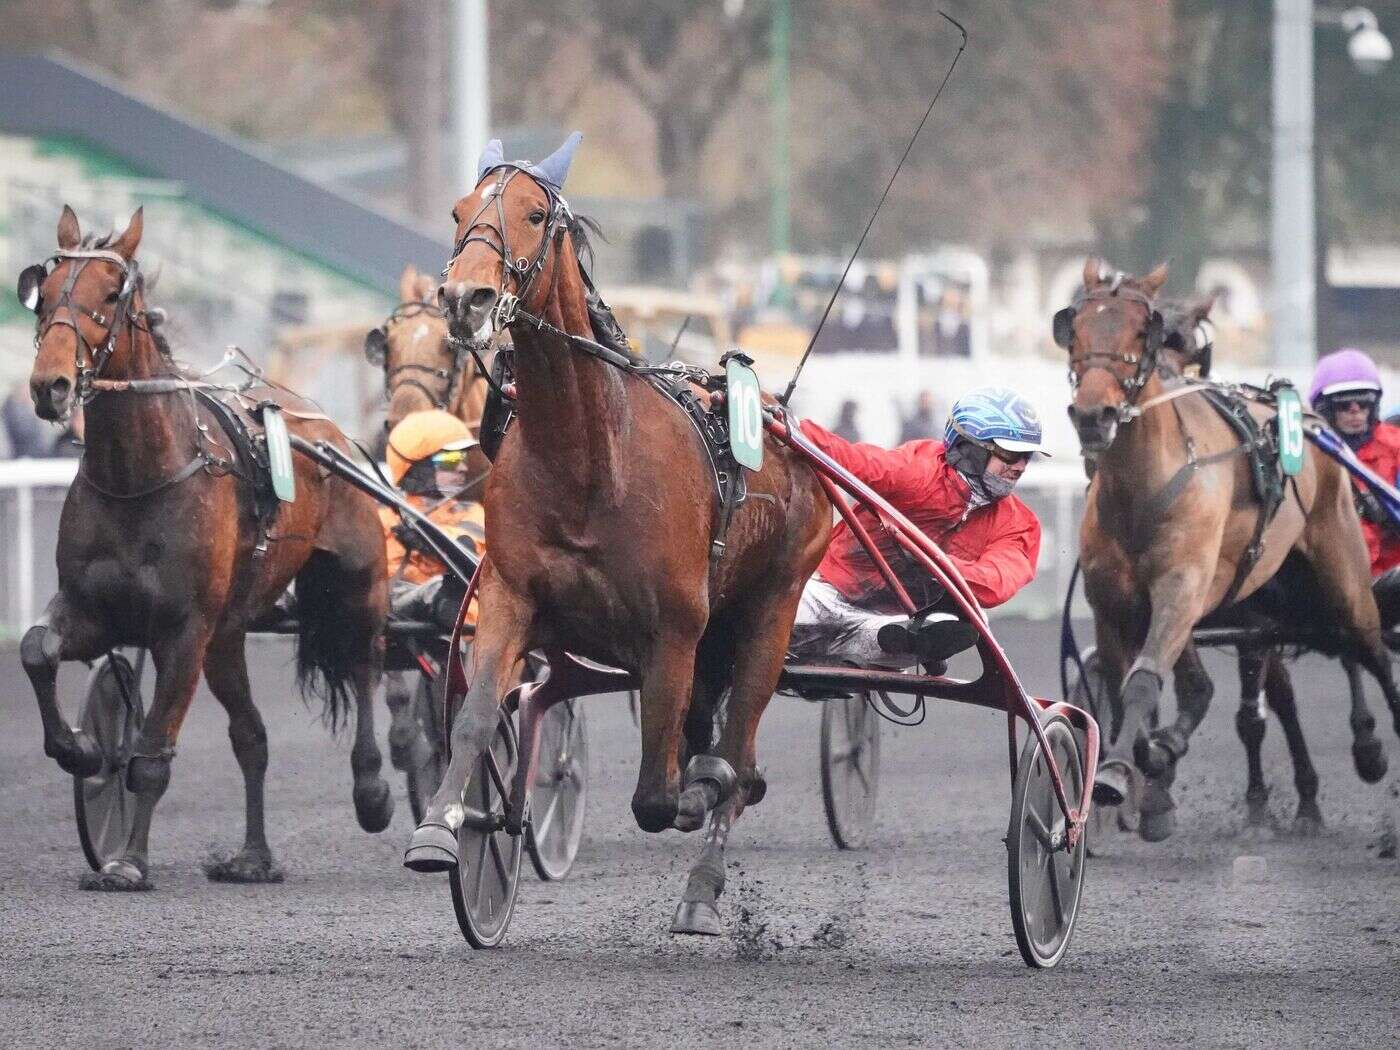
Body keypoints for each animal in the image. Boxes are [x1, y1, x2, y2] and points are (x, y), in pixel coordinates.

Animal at [21, 203, 392, 890]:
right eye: (44, 292)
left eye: (109, 295)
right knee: (252, 736)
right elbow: (39, 650)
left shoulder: (185, 629)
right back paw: (253, 857)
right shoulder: (95, 609)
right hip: (229, 635)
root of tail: (329, 431)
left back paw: (374, 791)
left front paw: (128, 863)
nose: (48, 386)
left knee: (362, 667)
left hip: (356, 585)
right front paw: (83, 749)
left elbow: (151, 751)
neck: (138, 478)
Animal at [406, 133, 834, 935]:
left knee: (738, 744)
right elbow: (475, 720)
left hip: (772, 605)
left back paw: (703, 877)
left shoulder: (673, 629)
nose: (463, 297)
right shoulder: (509, 597)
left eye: (534, 213)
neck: (591, 459)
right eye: (457, 209)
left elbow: (659, 797)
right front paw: (443, 830)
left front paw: (696, 789)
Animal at [1058, 257, 1400, 840]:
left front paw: (1128, 769)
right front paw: (1151, 772)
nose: (1092, 415)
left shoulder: (1184, 587)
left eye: (1142, 331)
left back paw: (1371, 748)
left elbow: (1148, 682)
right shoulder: (1114, 603)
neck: (1141, 486)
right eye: (1073, 326)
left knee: (1368, 648)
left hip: (1343, 572)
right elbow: (1133, 688)